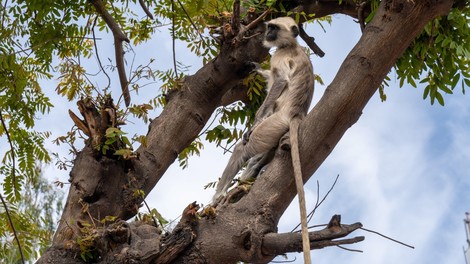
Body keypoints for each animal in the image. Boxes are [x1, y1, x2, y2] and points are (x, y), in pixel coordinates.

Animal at [214, 16, 316, 262]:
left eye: (274, 29)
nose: (267, 34)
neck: (291, 45)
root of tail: (296, 115)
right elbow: (272, 77)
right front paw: (257, 67)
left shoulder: (280, 57)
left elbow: (280, 82)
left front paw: (254, 122)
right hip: (276, 129)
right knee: (261, 155)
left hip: (273, 124)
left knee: (243, 149)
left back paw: (217, 196)